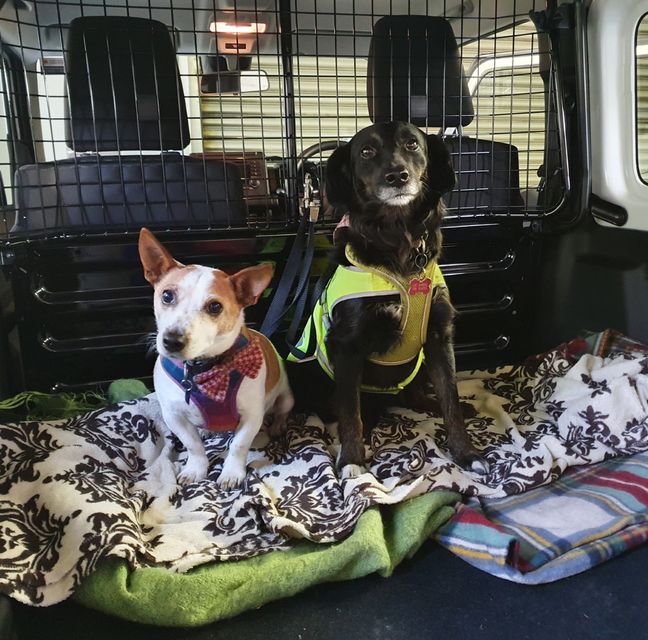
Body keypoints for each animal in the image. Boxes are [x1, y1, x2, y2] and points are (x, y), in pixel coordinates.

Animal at [142, 228, 296, 488]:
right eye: (167, 295)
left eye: (215, 307)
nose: (172, 340)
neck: (203, 370)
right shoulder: (174, 416)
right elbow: (193, 445)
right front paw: (196, 468)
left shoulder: (251, 416)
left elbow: (238, 446)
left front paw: (232, 472)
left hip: (286, 398)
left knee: (282, 411)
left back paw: (277, 425)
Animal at [288, 122, 486, 478]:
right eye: (366, 151)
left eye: (412, 144)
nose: (398, 176)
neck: (398, 239)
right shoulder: (347, 347)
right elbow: (350, 412)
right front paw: (352, 460)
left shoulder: (439, 336)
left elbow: (449, 399)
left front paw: (466, 453)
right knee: (346, 408)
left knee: (415, 399)